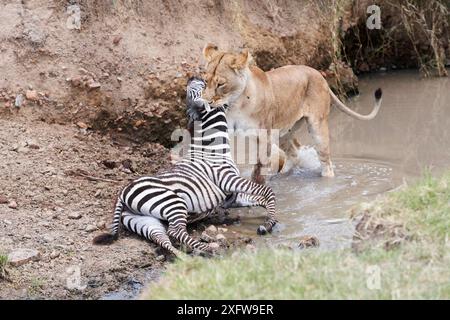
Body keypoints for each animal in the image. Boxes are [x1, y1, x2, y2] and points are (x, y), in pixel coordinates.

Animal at [93, 76, 278, 256]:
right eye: (202, 85)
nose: (191, 77)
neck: (213, 147)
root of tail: (122, 193)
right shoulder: (226, 178)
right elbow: (267, 191)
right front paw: (268, 224)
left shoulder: (230, 197)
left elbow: (261, 198)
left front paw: (269, 220)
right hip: (172, 202)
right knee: (175, 231)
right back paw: (209, 249)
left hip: (142, 220)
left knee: (162, 238)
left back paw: (184, 258)